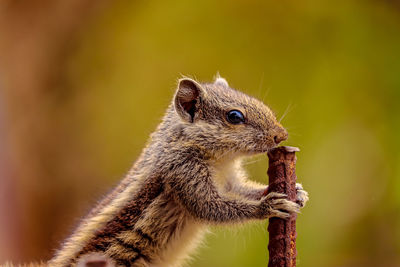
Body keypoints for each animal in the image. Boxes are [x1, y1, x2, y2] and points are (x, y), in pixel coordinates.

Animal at [2, 75, 310, 267]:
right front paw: (268, 206)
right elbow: (212, 207)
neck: (219, 161)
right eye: (235, 116)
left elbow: (241, 191)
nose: (281, 135)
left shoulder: (230, 181)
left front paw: (296, 192)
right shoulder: (182, 173)